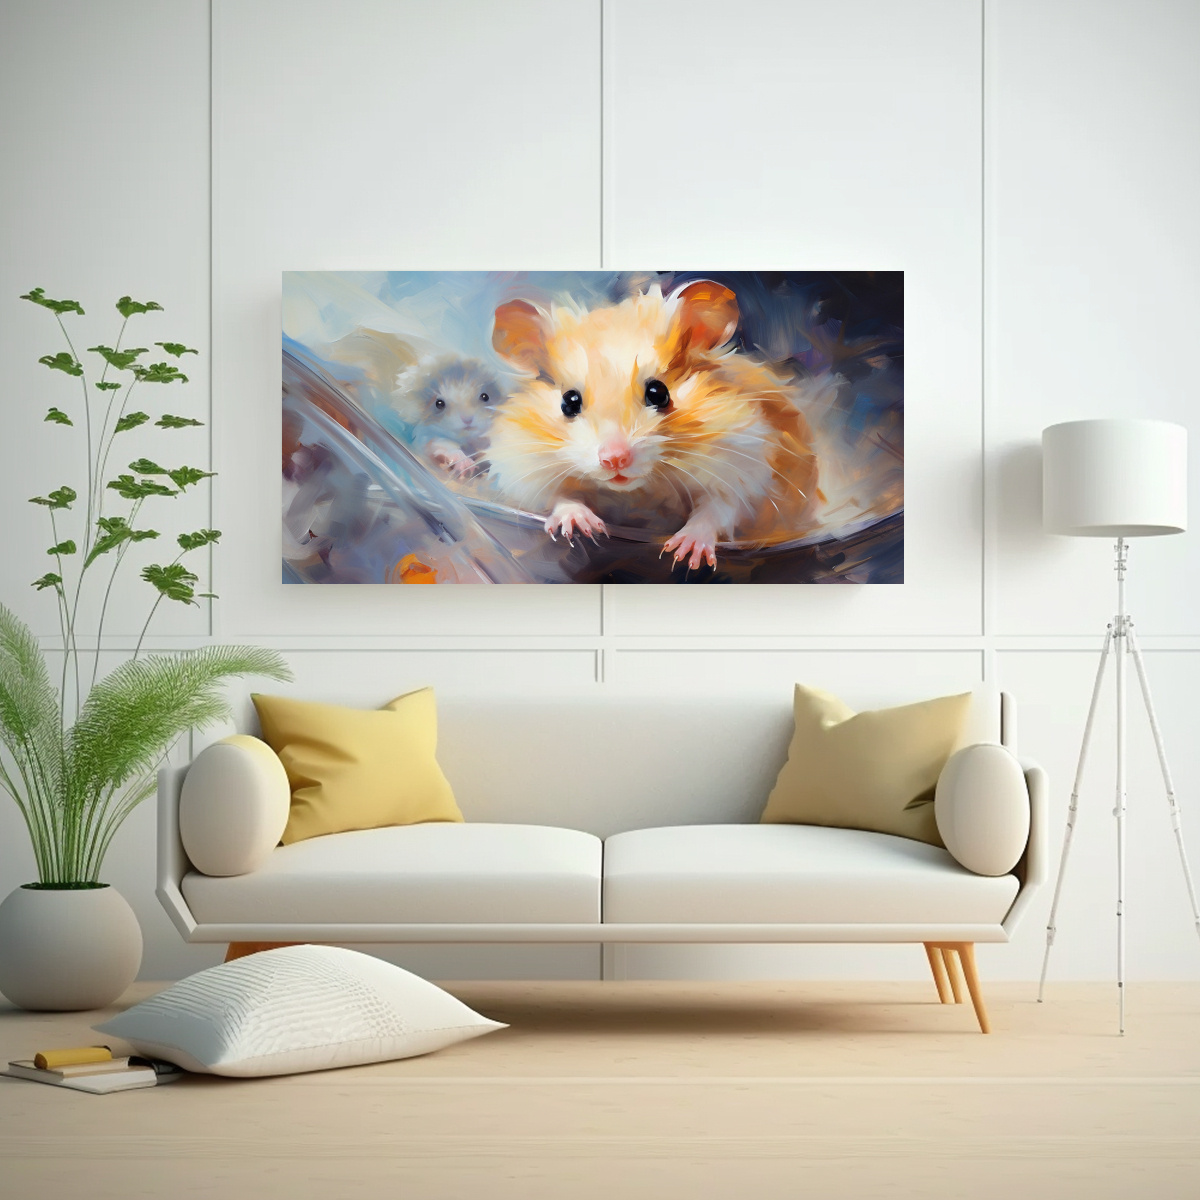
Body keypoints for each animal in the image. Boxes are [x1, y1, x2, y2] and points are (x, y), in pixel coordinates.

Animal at [485, 280, 821, 569]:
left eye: (658, 393)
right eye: (569, 401)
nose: (614, 460)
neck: (637, 490)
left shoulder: (742, 468)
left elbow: (716, 510)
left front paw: (683, 553)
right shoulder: (525, 469)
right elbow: (557, 498)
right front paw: (582, 527)